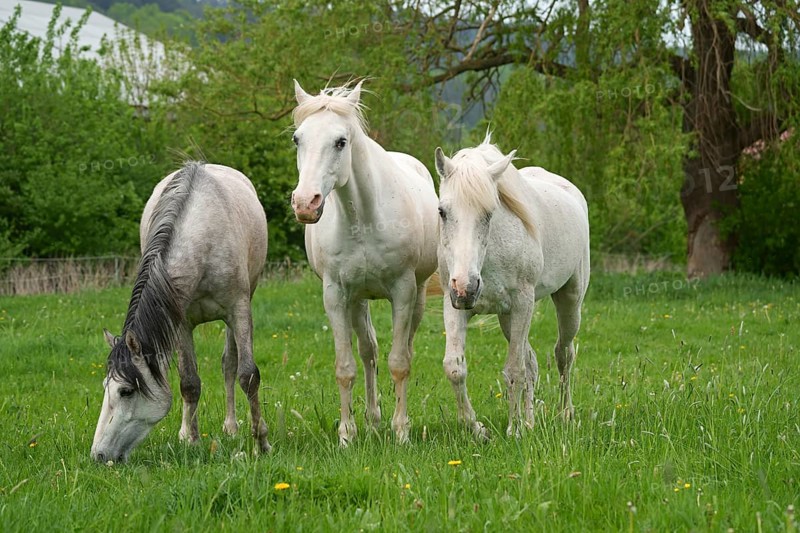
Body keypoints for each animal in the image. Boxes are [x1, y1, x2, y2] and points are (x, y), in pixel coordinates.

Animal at [91, 162, 271, 462]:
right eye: (106, 387)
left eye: (126, 391)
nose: (99, 455)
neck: (203, 240)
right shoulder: (181, 323)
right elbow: (189, 382)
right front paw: (192, 440)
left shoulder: (239, 311)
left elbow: (247, 375)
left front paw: (261, 443)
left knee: (229, 364)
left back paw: (231, 427)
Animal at [290, 80, 438, 445]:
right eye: (297, 138)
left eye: (340, 142)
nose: (305, 203)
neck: (363, 217)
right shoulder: (336, 294)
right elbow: (346, 367)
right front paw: (347, 435)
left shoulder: (403, 291)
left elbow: (399, 362)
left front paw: (402, 432)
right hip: (358, 300)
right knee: (368, 351)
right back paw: (372, 420)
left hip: (417, 296)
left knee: (405, 348)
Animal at [434, 135, 590, 438]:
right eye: (442, 211)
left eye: (488, 213)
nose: (467, 287)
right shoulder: (454, 303)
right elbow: (455, 368)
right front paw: (478, 429)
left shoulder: (522, 303)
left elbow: (514, 370)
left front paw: (513, 431)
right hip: (507, 318)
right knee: (533, 361)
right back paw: (530, 421)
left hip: (569, 302)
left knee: (564, 354)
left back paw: (565, 414)